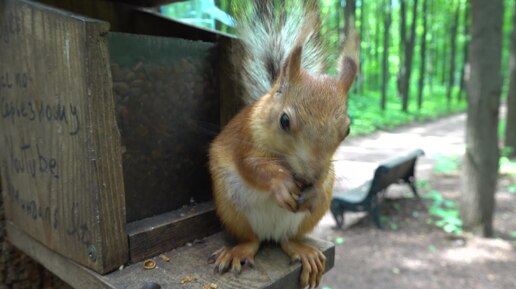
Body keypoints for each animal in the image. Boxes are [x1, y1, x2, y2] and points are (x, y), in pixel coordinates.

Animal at [208, 1, 356, 286]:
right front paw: (282, 184)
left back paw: (302, 250)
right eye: (284, 120)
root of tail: (271, 232)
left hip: (308, 218)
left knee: (288, 239)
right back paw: (239, 250)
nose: (309, 177)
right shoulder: (243, 137)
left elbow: (322, 178)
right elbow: (251, 165)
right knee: (251, 240)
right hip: (231, 207)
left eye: (347, 129)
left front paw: (313, 190)